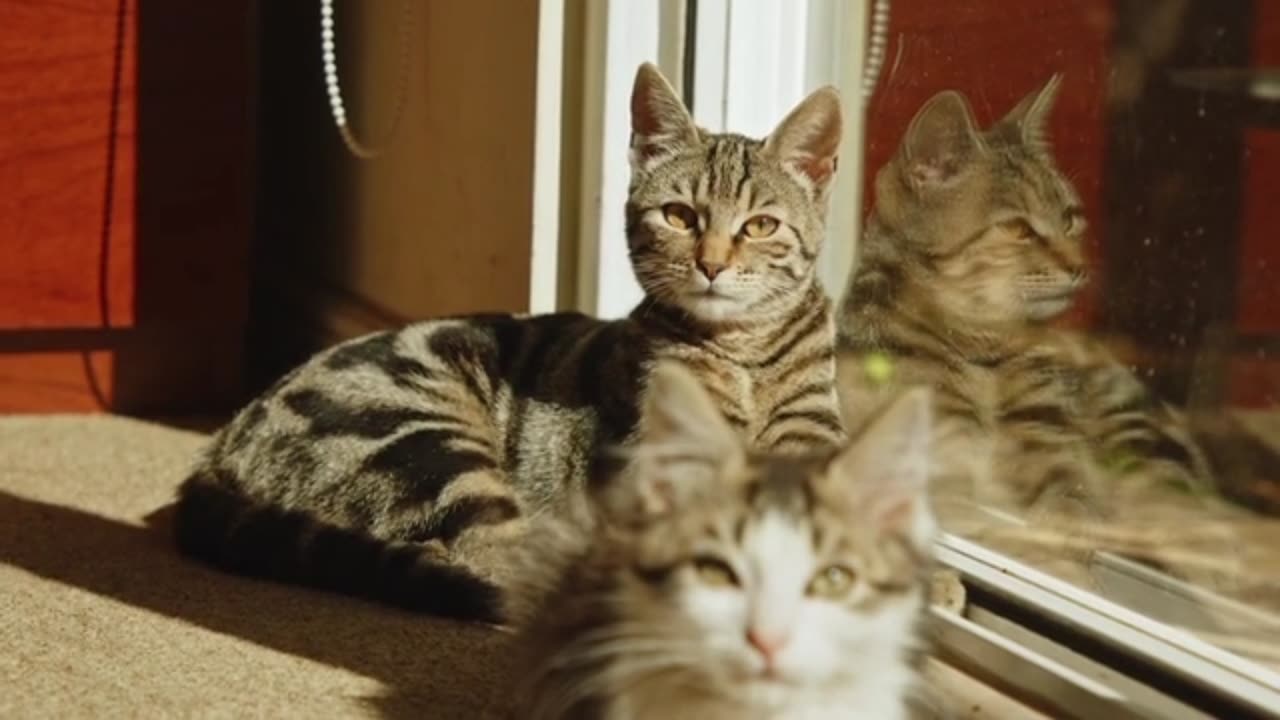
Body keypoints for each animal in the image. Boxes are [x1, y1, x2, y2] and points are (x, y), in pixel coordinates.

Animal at [172, 64, 849, 620]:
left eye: (760, 226)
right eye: (679, 216)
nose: (711, 265)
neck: (744, 357)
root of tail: (226, 435)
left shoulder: (813, 433)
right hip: (419, 441)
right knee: (485, 551)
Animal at [839, 75, 1208, 517]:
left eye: (1069, 219)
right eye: (1018, 229)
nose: (1079, 268)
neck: (981, 346)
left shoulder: (1052, 445)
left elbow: (1069, 499)